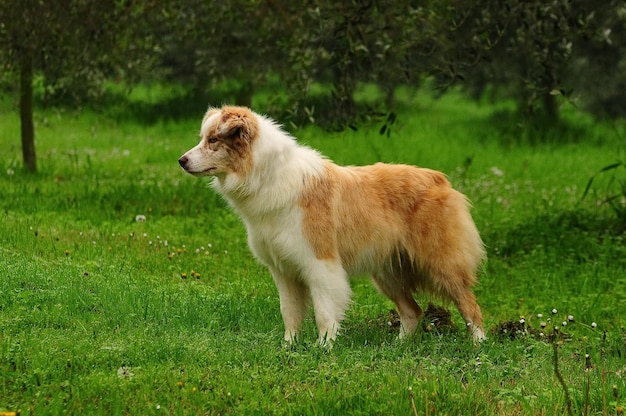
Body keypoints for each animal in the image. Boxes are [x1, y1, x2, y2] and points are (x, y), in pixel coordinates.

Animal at [178, 105, 486, 346]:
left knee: (470, 306)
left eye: (213, 140)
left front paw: (324, 347)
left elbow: (324, 311)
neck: (266, 176)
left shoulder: (320, 262)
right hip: (387, 273)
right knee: (412, 311)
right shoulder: (282, 269)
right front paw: (289, 347)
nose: (181, 161)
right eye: (203, 138)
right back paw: (399, 347)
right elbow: (289, 311)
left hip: (442, 265)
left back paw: (479, 346)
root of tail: (439, 179)